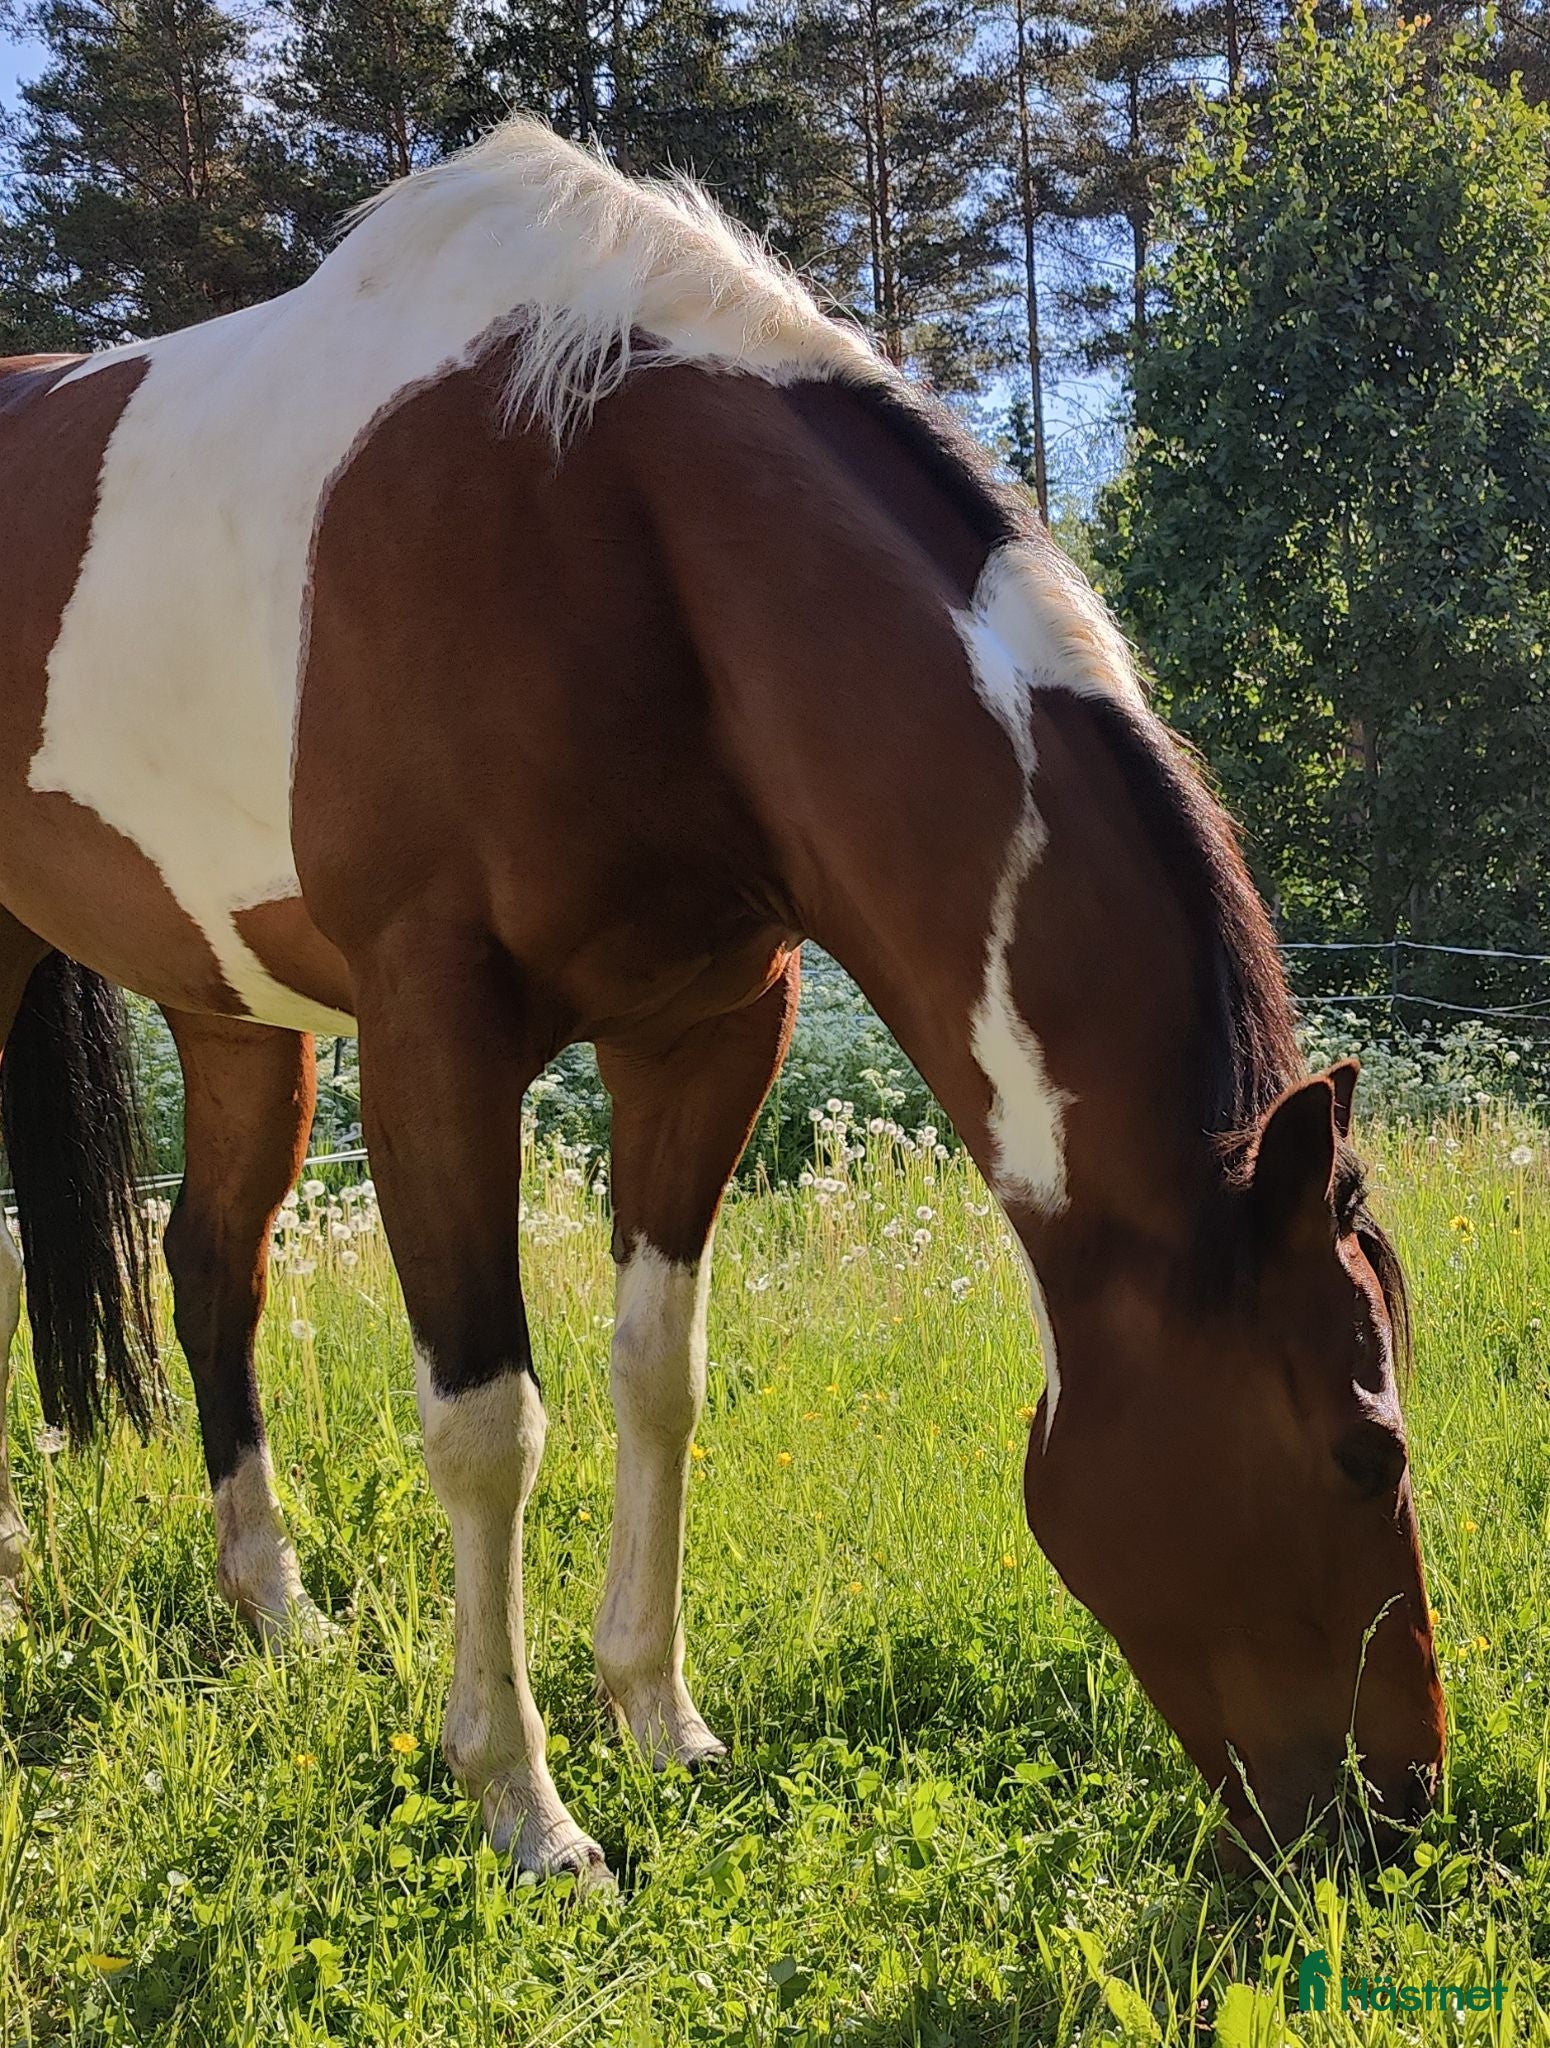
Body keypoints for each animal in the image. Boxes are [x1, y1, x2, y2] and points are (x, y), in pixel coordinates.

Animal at [0, 118, 1444, 1883]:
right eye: (1362, 1450)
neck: (609, 532)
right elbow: (489, 1423)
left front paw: (656, 1716)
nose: (1401, 1817)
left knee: (214, 1270)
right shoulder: (433, 1037)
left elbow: (657, 1375)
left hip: (230, 1008)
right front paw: (525, 1806)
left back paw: (278, 1613)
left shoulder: (705, 1031)